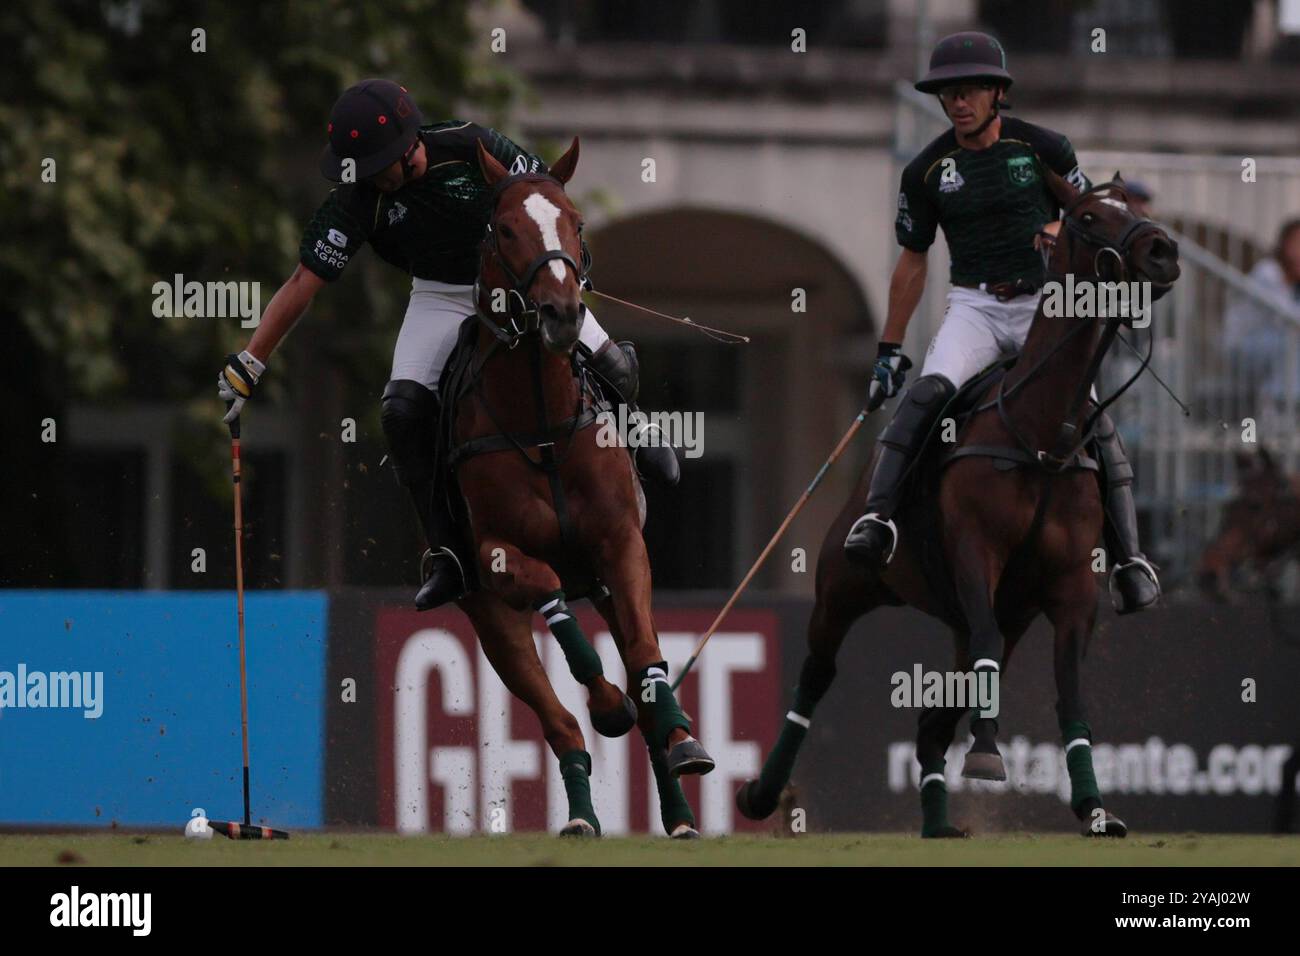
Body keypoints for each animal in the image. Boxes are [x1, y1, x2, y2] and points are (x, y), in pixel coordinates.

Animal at [444, 136, 712, 837]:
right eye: (504, 228)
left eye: (577, 224)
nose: (562, 315)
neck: (539, 420)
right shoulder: (496, 553)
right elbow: (548, 591)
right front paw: (607, 701)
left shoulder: (621, 542)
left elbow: (646, 652)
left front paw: (682, 737)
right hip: (488, 617)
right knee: (559, 722)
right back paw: (584, 812)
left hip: (605, 584)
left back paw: (677, 806)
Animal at [743, 171, 1180, 837]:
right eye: (1086, 216)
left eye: (1129, 205)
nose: (1163, 251)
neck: (1040, 436)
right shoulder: (976, 553)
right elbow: (985, 646)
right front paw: (987, 755)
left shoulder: (1072, 584)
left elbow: (1068, 685)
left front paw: (1094, 806)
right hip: (843, 584)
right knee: (817, 674)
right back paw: (765, 793)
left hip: (1000, 614)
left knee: (933, 718)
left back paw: (939, 823)